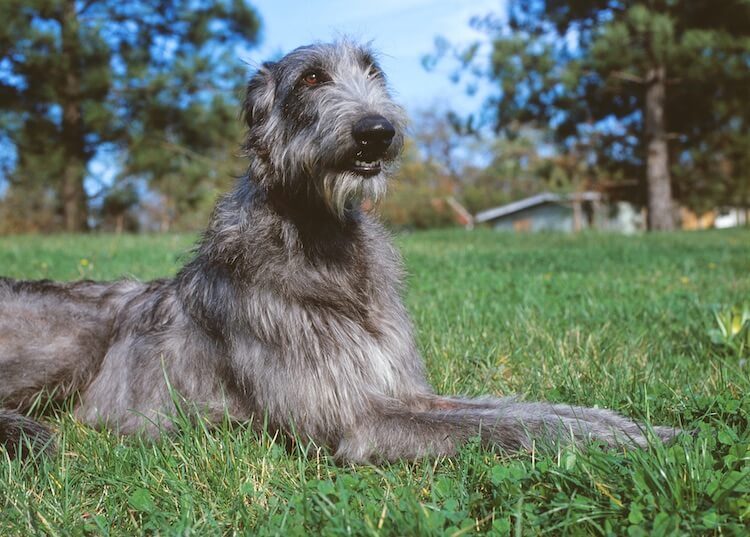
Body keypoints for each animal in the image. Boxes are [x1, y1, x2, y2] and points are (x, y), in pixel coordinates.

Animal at [0, 40, 680, 460]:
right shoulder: (357, 419)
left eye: (373, 71)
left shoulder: (405, 390)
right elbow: (500, 428)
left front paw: (633, 427)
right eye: (310, 78)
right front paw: (623, 443)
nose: (378, 131)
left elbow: (519, 411)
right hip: (75, 341)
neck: (322, 243)